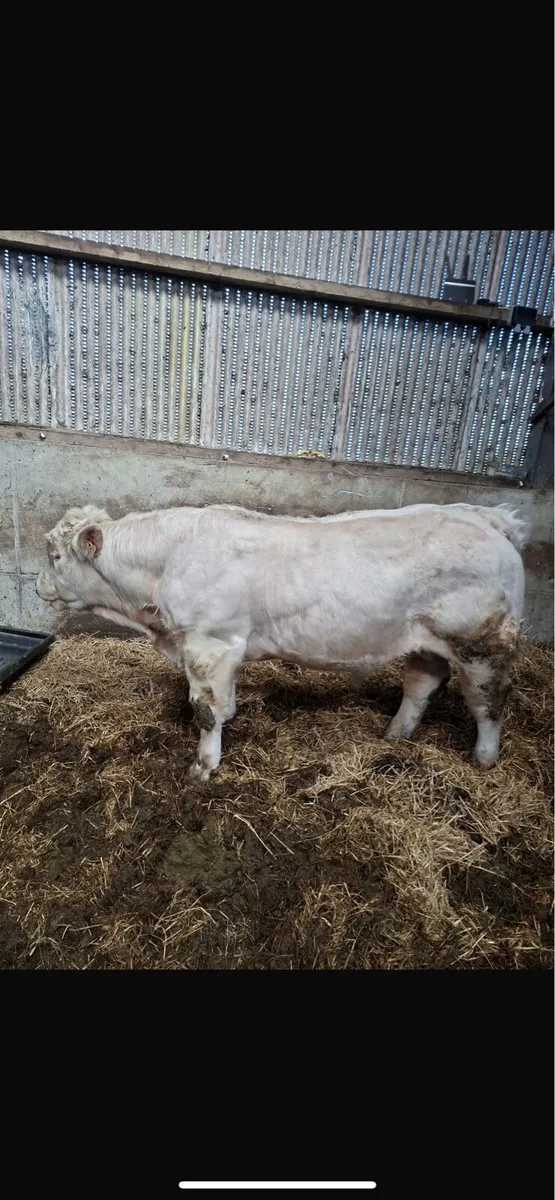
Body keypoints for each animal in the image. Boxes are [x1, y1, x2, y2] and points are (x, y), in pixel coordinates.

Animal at [36, 501, 527, 781]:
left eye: (55, 555)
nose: (40, 586)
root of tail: (486, 518)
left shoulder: (208, 644)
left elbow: (205, 711)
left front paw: (202, 768)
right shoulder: (224, 651)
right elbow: (224, 705)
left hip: (480, 642)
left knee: (488, 700)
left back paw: (484, 758)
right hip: (424, 640)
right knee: (421, 686)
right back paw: (393, 736)